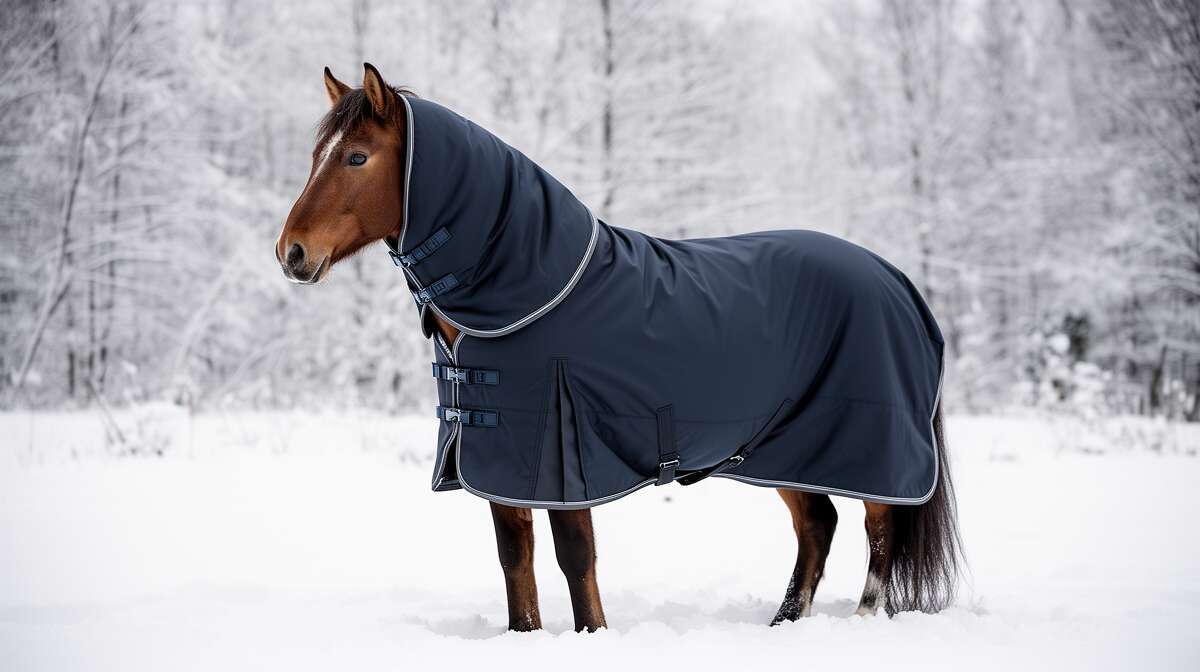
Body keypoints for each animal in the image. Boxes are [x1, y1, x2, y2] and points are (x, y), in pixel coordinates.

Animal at [275, 63, 961, 632]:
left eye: (357, 157)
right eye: (317, 154)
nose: (292, 252)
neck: (531, 288)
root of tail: (897, 279)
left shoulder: (561, 456)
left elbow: (575, 557)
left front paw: (592, 636)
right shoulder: (499, 459)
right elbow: (514, 559)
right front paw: (527, 639)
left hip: (864, 446)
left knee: (878, 527)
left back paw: (860, 620)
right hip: (784, 449)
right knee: (819, 526)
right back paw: (784, 624)